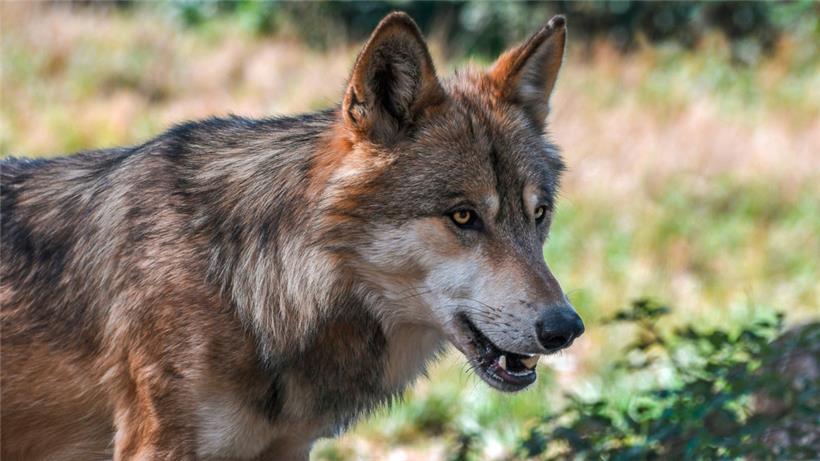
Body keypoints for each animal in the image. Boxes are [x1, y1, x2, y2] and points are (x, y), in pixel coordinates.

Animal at [0, 12, 583, 460]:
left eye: (539, 214)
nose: (566, 328)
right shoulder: (157, 445)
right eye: (463, 217)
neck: (246, 286)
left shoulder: (288, 448)